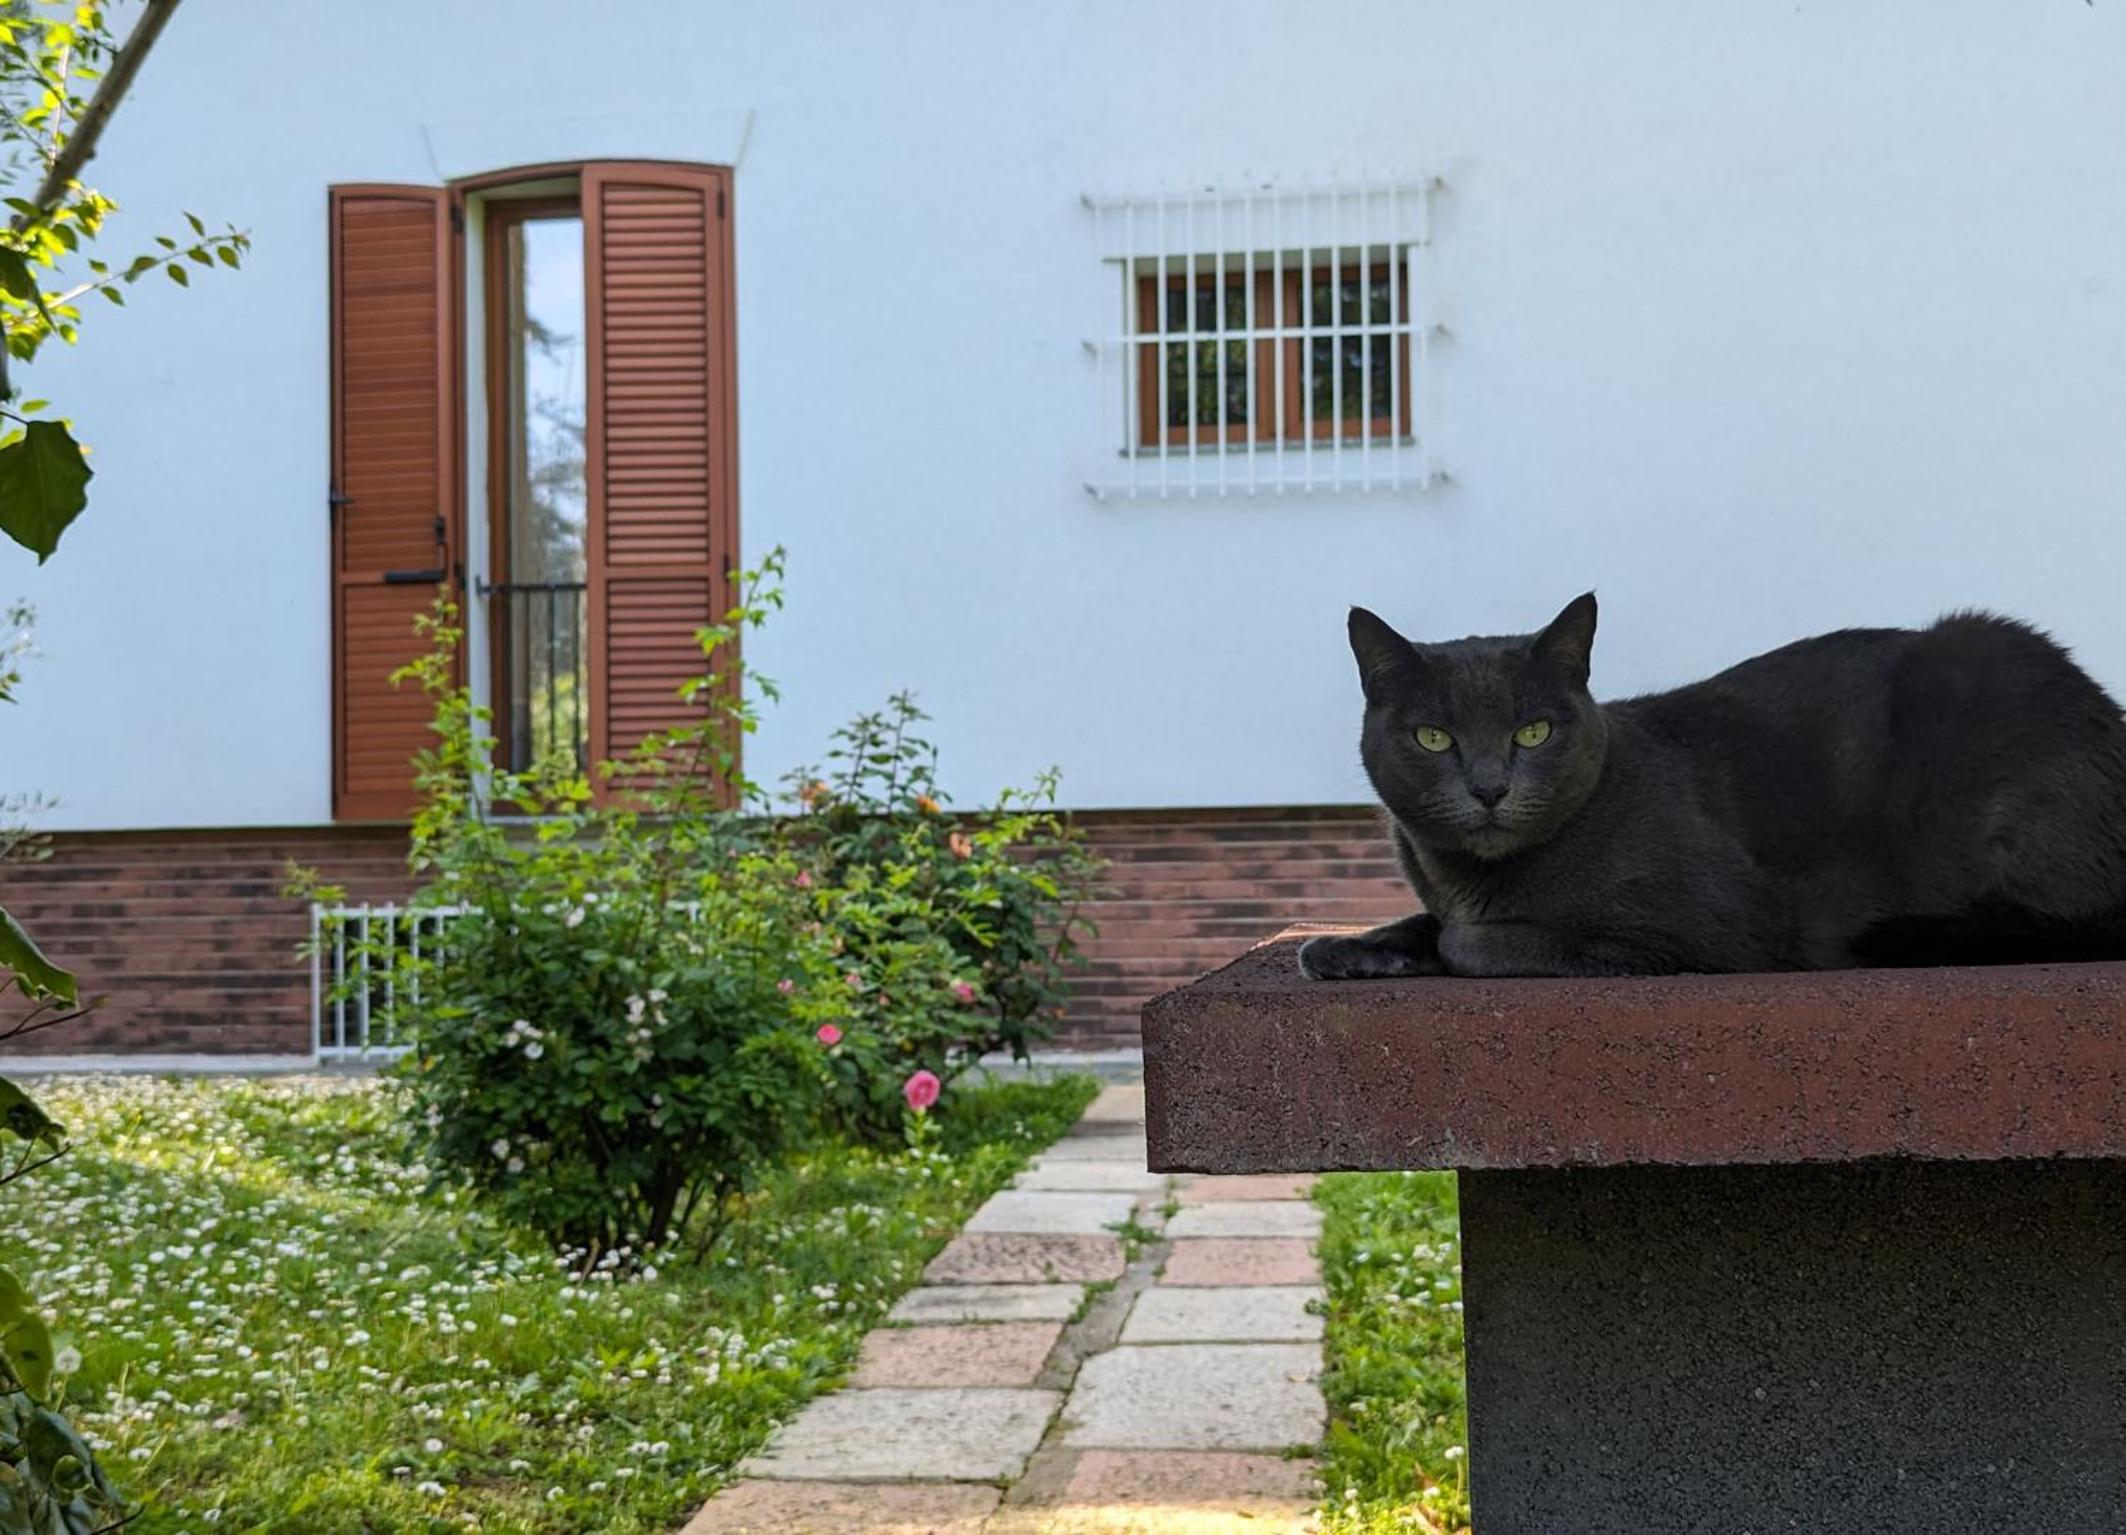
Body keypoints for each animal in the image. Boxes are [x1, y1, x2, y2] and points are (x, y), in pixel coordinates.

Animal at [1298, 594, 2126, 981]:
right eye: (1433, 737)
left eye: (1533, 732)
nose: (1490, 787)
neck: (1473, 880)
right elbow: (1421, 923)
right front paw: (1349, 947)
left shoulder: (1711, 927)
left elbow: (1476, 941)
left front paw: (1443, 941)